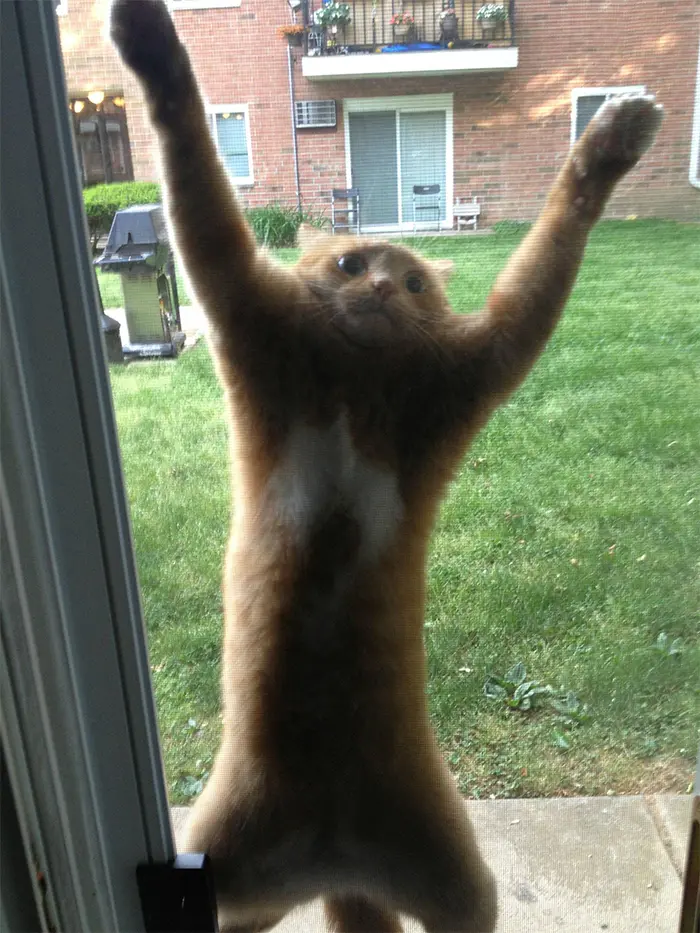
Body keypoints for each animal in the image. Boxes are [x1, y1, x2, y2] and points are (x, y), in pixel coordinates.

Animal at [112, 3, 664, 928]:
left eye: (409, 283)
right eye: (347, 262)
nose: (376, 288)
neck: (359, 381)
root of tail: (334, 860)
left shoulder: (479, 363)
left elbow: (541, 270)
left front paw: (612, 141)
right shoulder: (245, 302)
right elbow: (194, 172)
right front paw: (150, 43)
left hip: (453, 873)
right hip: (231, 867)